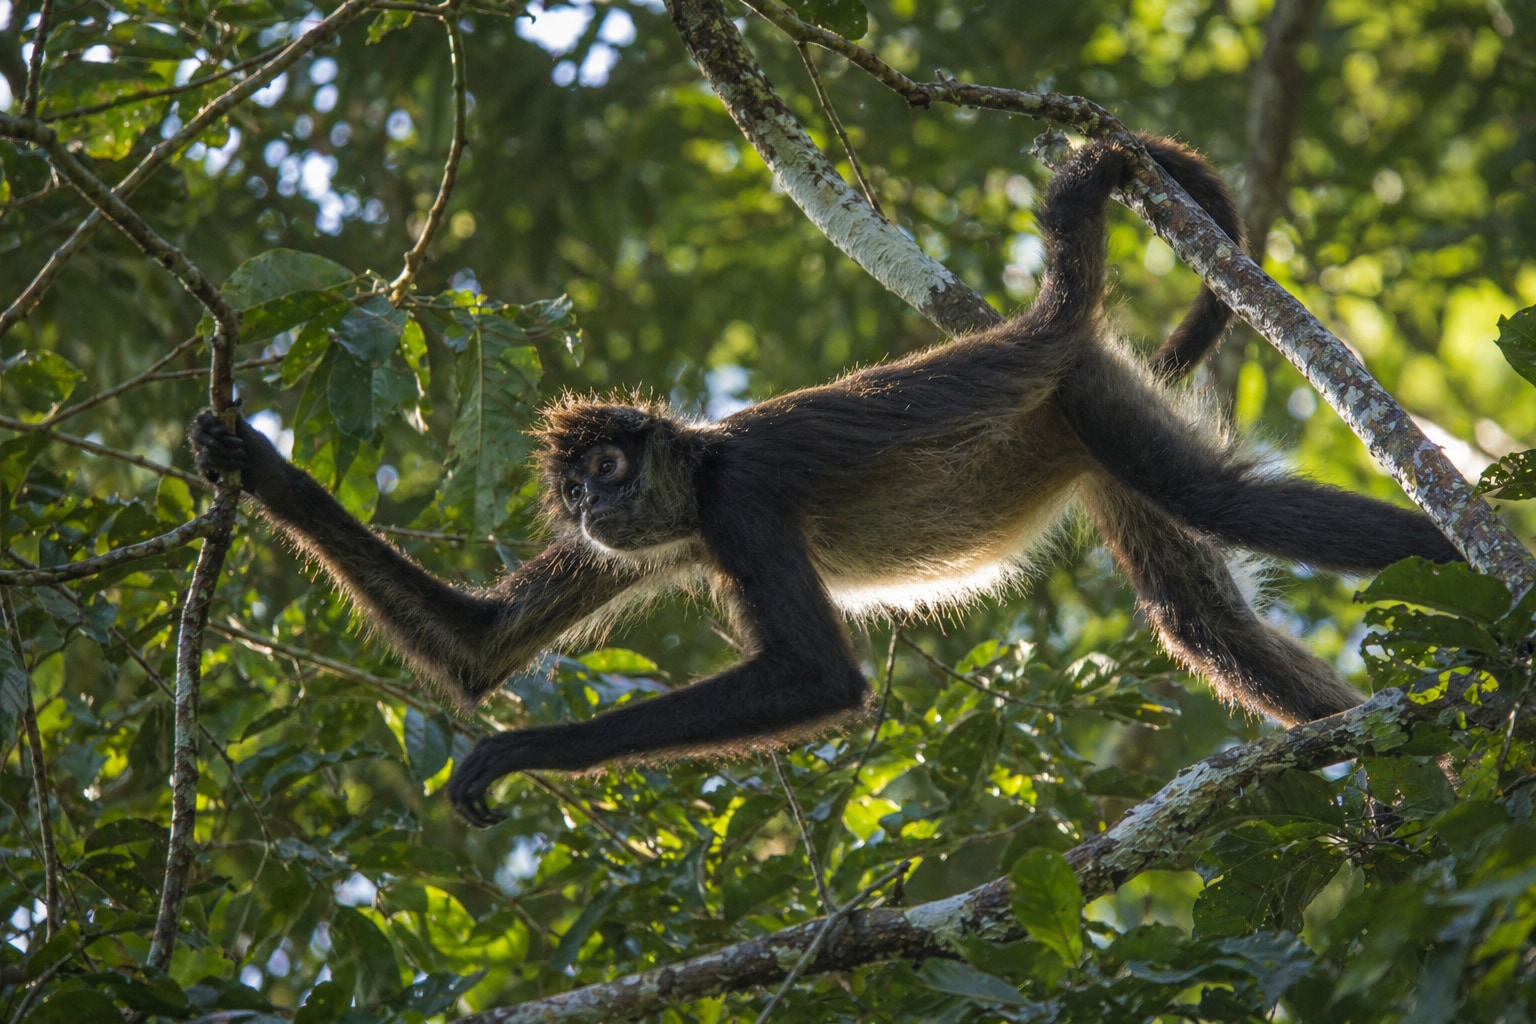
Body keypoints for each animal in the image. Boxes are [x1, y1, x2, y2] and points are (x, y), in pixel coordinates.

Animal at [192, 134, 1464, 827]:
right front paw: (249, 460)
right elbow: (478, 649)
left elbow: (815, 675)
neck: (694, 468)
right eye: (578, 492)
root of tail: (1027, 329)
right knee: (1200, 617)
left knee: (1225, 507)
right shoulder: (663, 533)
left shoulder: (736, 503)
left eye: (607, 465)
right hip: (1086, 426)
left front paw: (518, 751)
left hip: (1084, 402)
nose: (596, 504)